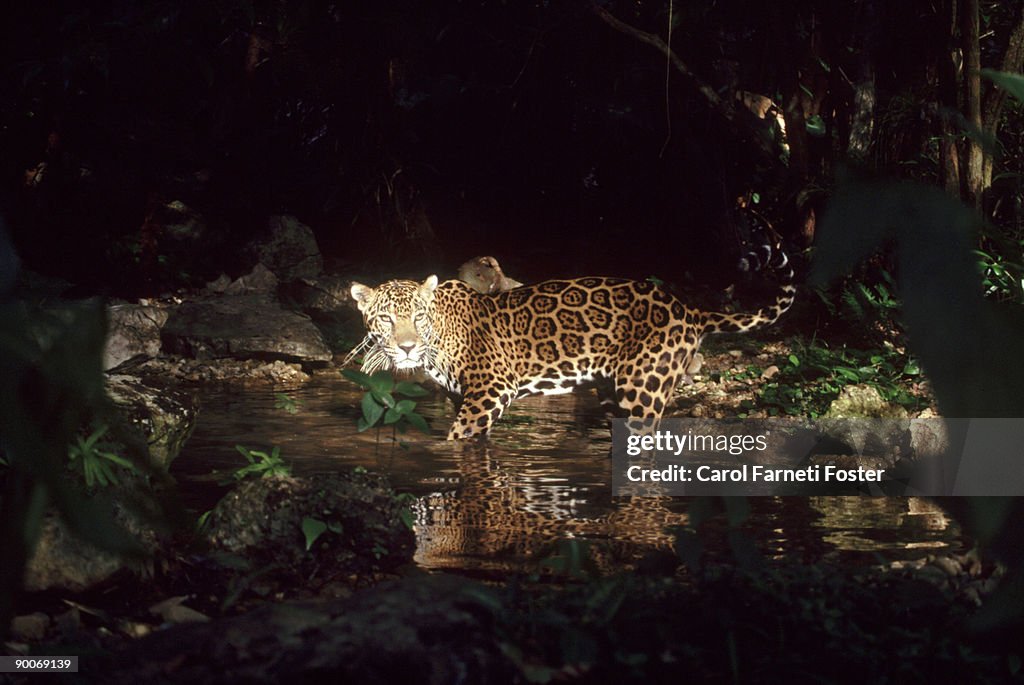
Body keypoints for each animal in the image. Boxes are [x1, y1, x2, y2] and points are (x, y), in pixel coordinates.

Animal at [349, 246, 794, 440]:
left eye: (417, 318)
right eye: (387, 319)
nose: (407, 348)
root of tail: (689, 309)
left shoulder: (492, 391)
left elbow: (456, 439)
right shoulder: (466, 397)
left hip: (644, 392)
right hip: (613, 394)